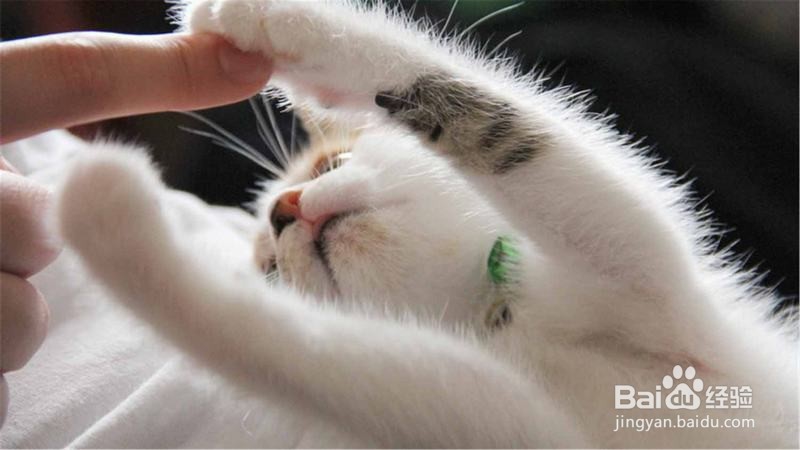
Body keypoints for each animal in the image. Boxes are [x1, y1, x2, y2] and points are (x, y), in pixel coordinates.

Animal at [55, 0, 797, 447]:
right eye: (268, 273)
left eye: (331, 162)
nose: (283, 211)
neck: (505, 321)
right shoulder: (499, 420)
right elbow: (315, 361)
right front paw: (113, 216)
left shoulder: (661, 295)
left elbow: (524, 141)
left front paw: (277, 24)